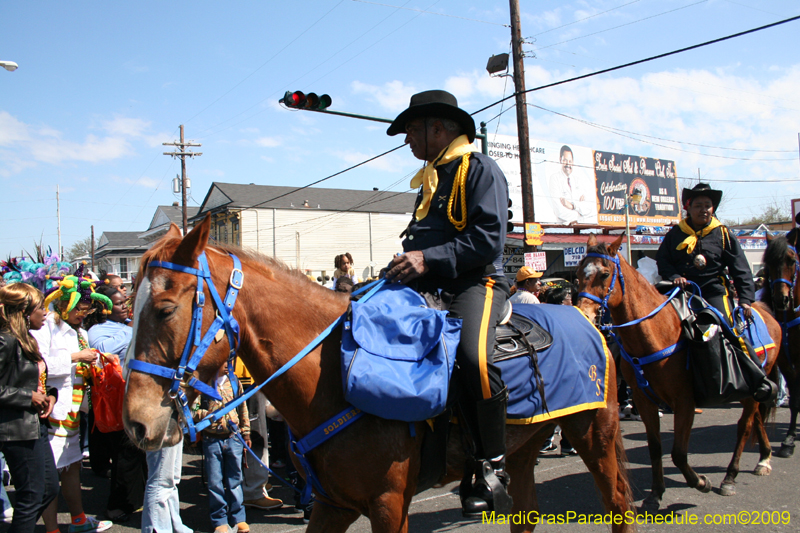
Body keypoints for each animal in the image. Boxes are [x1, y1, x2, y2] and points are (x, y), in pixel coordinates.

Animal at [125, 217, 636, 532]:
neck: (329, 373)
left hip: (596, 434)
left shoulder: (389, 504)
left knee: (618, 505)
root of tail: (588, 321)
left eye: (165, 309)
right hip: (525, 447)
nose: (136, 423)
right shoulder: (332, 504)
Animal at [576, 234, 780, 508]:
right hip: (751, 390)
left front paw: (701, 482)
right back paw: (764, 458)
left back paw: (730, 477)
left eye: (605, 274)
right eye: (578, 273)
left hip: (753, 385)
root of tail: (765, 311)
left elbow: (679, 453)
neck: (656, 334)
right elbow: (655, 447)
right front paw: (655, 493)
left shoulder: (684, 400)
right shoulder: (644, 400)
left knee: (745, 426)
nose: (583, 315)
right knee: (756, 418)